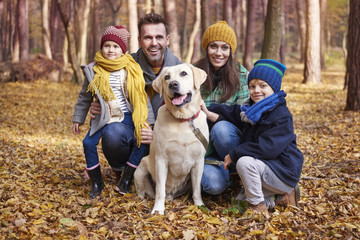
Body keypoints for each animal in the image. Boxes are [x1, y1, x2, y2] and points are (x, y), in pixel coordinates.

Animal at [134, 62, 208, 215]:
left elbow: (197, 190)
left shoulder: (199, 161)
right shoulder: (161, 159)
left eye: (184, 73)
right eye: (166, 77)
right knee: (143, 192)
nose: (173, 84)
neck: (183, 120)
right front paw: (158, 209)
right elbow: (160, 189)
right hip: (139, 171)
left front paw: (200, 205)